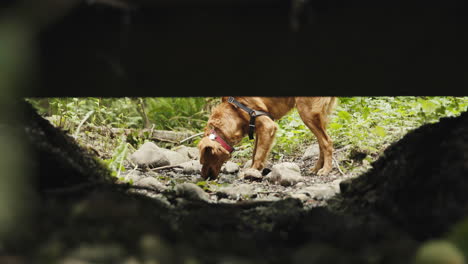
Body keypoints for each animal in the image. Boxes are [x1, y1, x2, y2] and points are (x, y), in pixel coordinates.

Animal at [197, 98, 336, 180]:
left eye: (204, 161)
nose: (202, 177)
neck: (234, 111)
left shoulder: (268, 126)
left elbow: (258, 155)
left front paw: (252, 170)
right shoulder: (259, 129)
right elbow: (255, 153)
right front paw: (253, 169)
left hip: (307, 113)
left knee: (327, 142)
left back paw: (326, 169)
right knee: (321, 143)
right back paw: (317, 168)